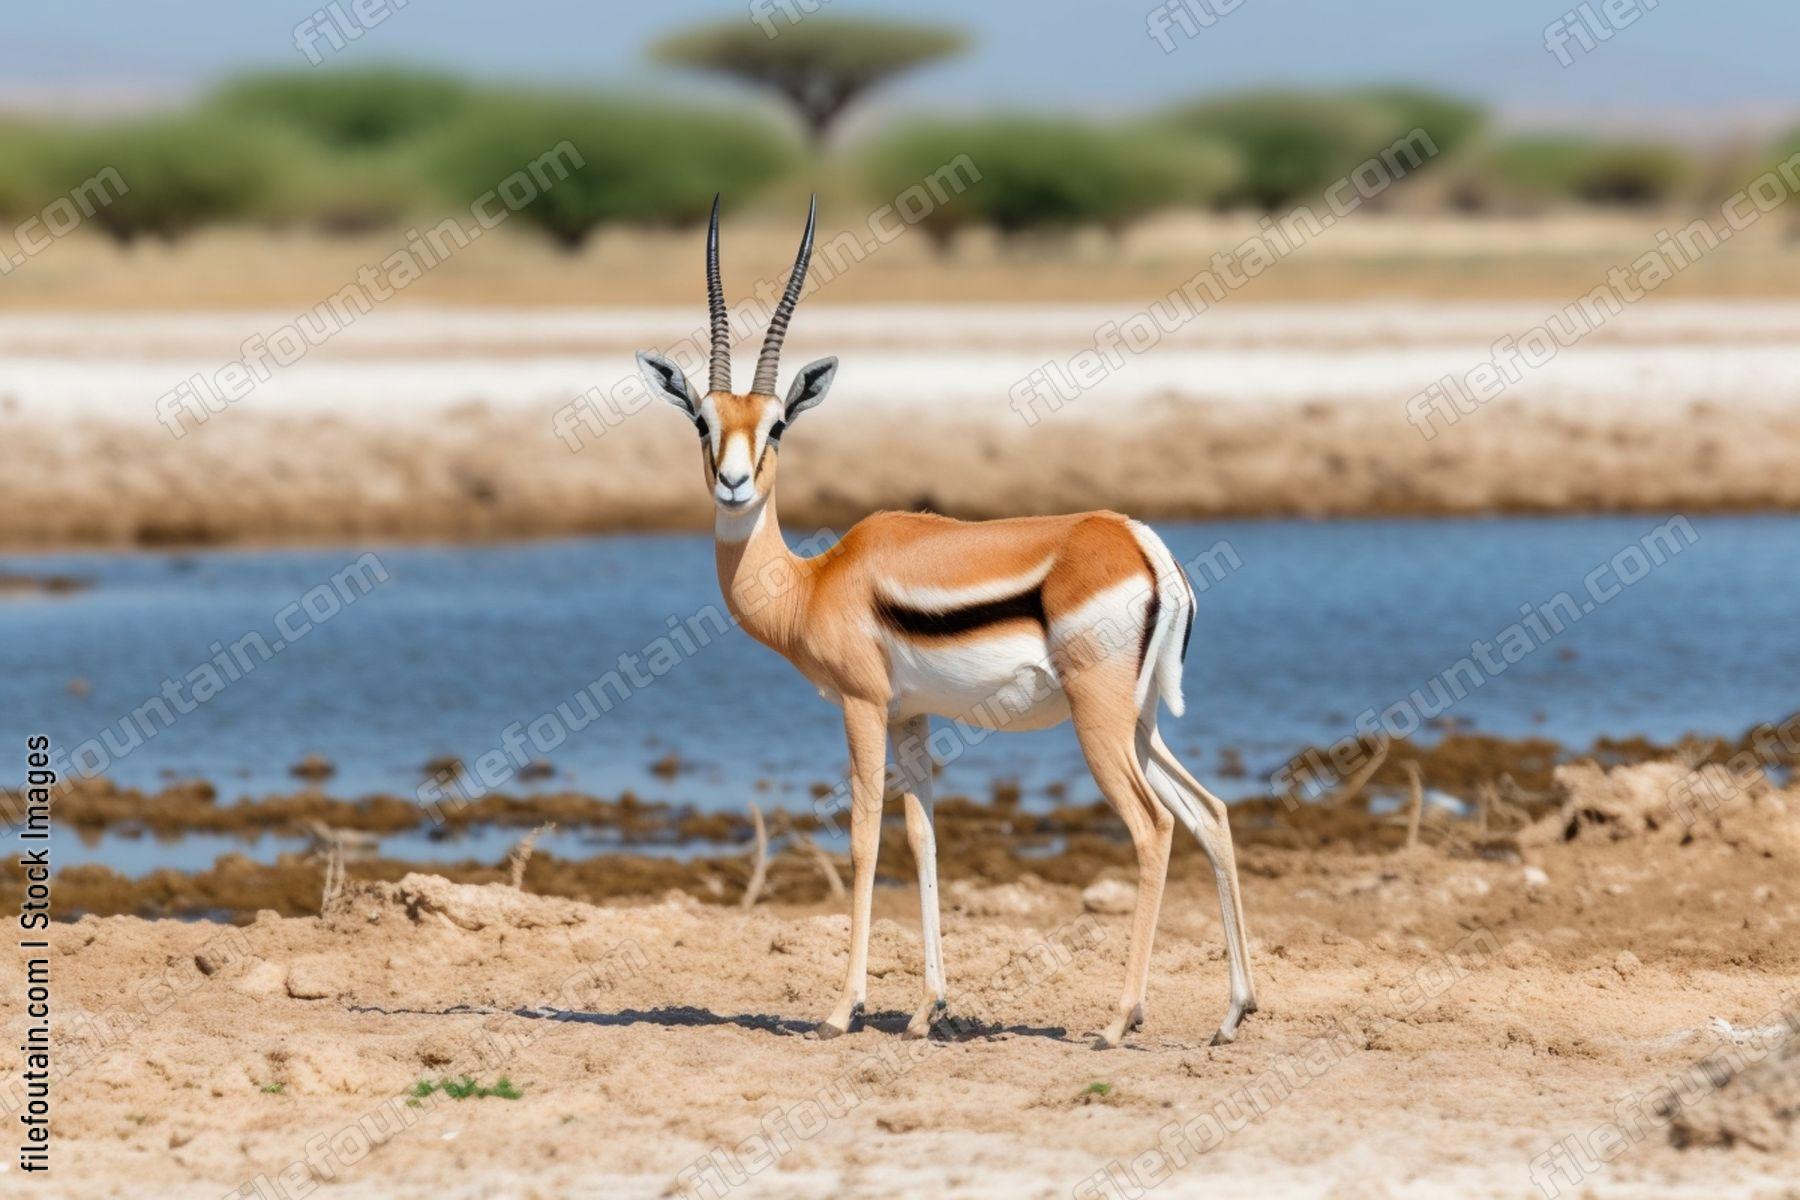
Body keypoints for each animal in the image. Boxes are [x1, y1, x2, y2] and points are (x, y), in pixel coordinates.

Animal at [635, 197, 1257, 1048]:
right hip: (1140, 722)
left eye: (778, 426)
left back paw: (1117, 1019)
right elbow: (925, 837)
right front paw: (926, 1009)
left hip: (1099, 723)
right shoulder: (913, 716)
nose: (733, 485)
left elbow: (866, 835)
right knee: (1212, 813)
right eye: (702, 421)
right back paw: (1233, 1014)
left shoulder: (863, 707)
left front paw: (842, 1009)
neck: (815, 583)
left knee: (1155, 825)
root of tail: (1139, 543)